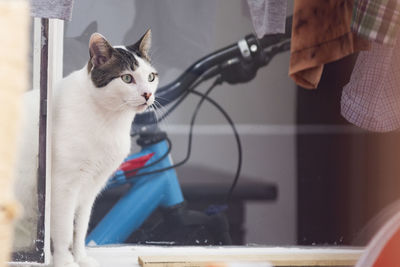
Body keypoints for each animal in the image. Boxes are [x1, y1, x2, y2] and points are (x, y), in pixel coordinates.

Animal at [15, 29, 159, 267]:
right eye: (127, 78)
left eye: (151, 77)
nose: (148, 94)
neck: (110, 121)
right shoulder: (63, 186)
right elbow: (64, 229)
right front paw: (65, 261)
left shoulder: (91, 187)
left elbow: (80, 227)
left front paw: (81, 257)